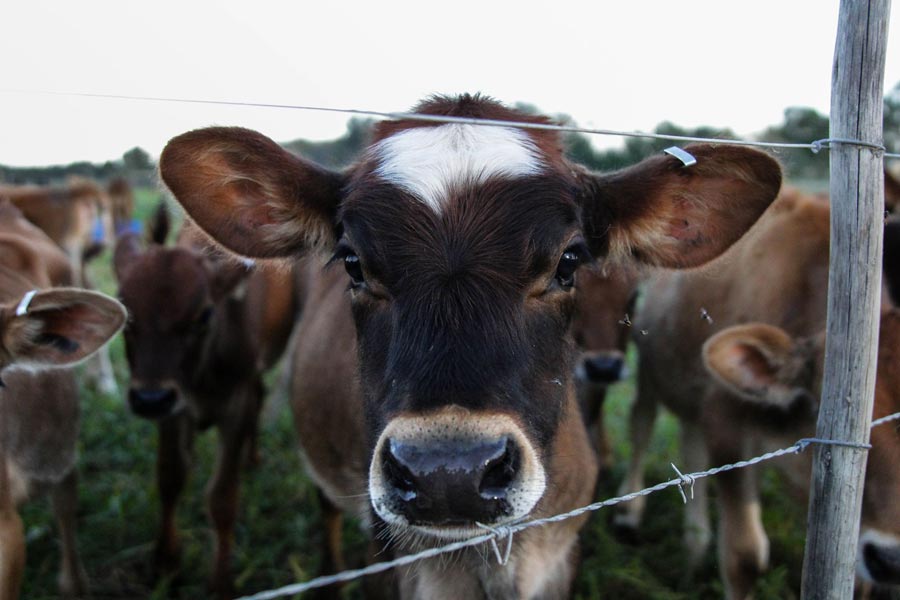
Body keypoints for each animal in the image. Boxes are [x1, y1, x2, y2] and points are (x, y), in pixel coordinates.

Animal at [112, 207, 297, 598]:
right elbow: (170, 477)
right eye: (126, 314)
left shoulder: (235, 403)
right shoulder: (174, 407)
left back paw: (252, 456)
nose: (148, 399)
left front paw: (221, 581)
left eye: (204, 315)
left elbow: (223, 497)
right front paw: (165, 562)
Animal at [617, 181, 900, 598]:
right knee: (641, 425)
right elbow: (745, 557)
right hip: (650, 375)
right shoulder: (726, 426)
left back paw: (693, 549)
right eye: (819, 402)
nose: (891, 559)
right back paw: (630, 515)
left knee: (690, 447)